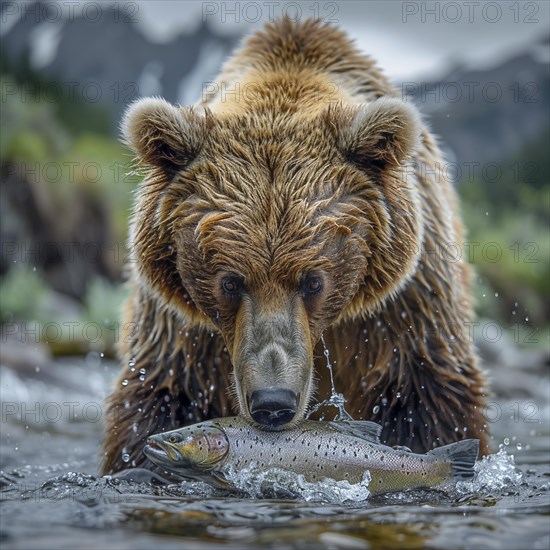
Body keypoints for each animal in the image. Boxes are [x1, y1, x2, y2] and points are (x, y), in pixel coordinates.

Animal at [99, 16, 492, 474]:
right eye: (230, 282)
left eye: (313, 281)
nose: (273, 402)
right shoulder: (182, 327)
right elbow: (162, 393)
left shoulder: (404, 304)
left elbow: (427, 397)